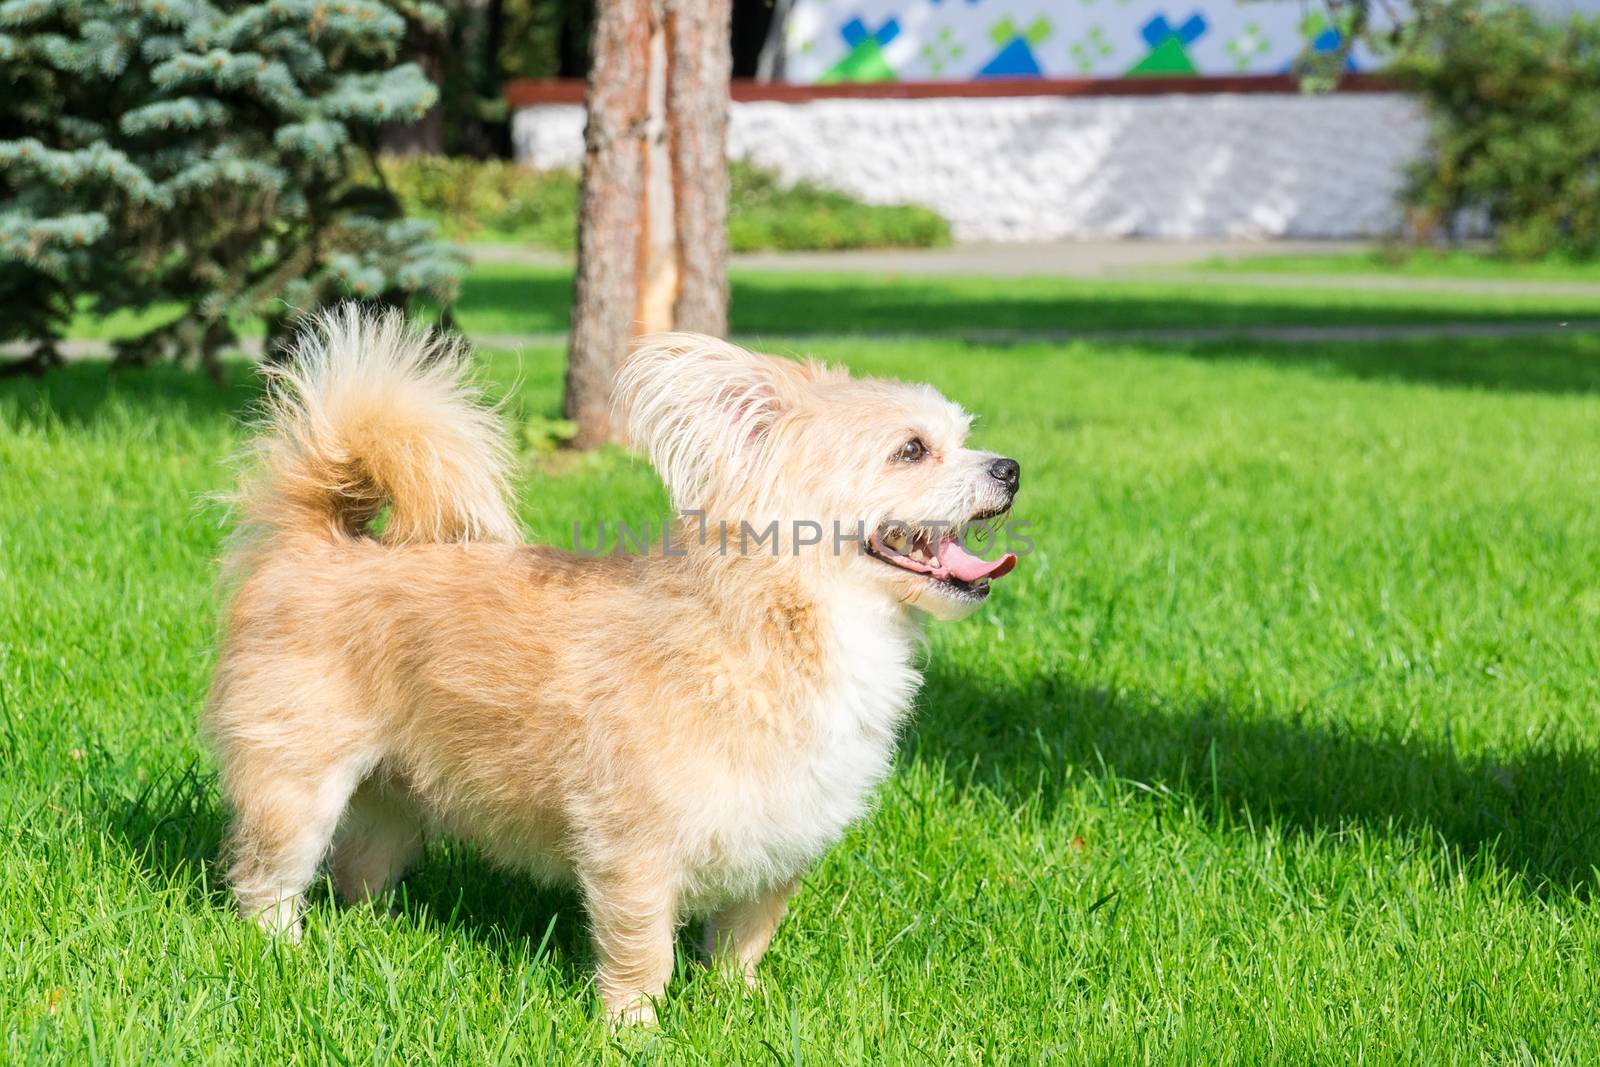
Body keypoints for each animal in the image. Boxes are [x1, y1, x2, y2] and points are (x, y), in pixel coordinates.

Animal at [206, 303, 1017, 1023]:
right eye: (911, 449)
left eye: (964, 438)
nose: (1009, 467)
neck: (780, 628)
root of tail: (321, 540)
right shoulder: (634, 853)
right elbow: (643, 951)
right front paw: (634, 1027)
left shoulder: (778, 844)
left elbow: (743, 940)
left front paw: (741, 1006)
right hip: (296, 786)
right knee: (267, 880)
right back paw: (282, 952)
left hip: (394, 800)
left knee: (358, 870)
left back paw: (371, 938)